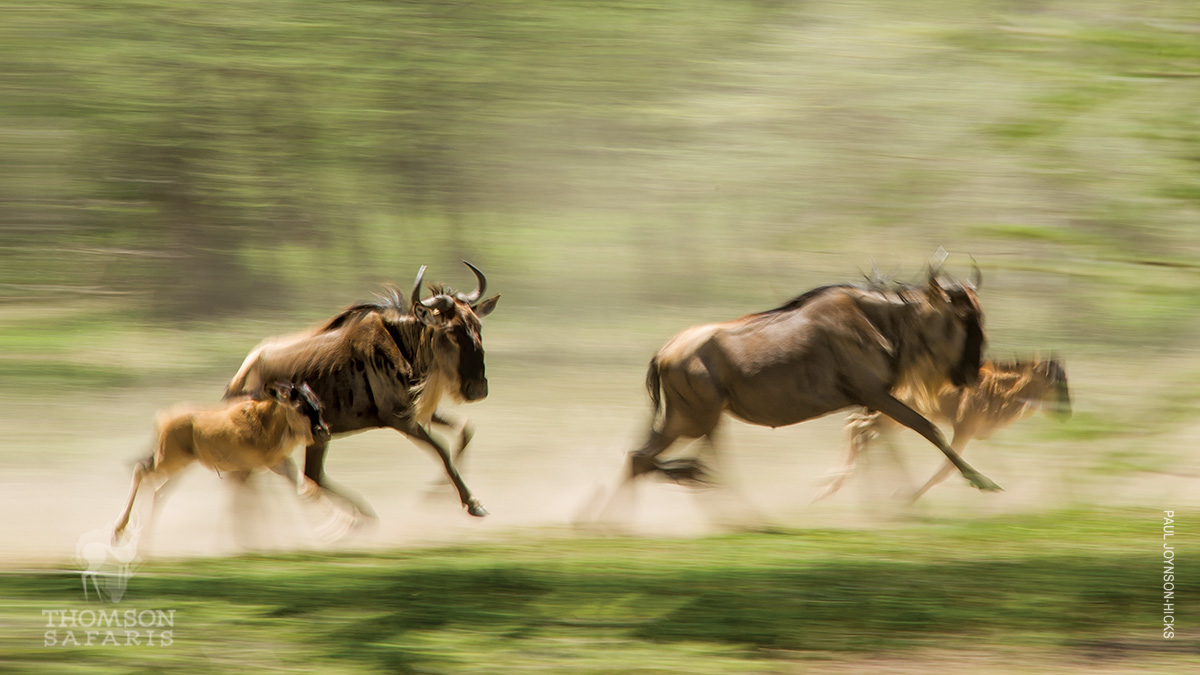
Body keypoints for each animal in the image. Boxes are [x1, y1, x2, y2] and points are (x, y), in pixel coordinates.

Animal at [114, 381, 328, 538]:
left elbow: (306, 488)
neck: (267, 425)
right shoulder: (252, 468)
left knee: (158, 491)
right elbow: (255, 505)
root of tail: (162, 420)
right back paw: (120, 530)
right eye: (300, 408)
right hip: (168, 460)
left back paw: (143, 538)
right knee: (141, 470)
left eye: (317, 404)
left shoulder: (276, 464)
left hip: (180, 465)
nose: (323, 431)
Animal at [816, 357, 1070, 499]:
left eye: (1065, 379)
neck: (998, 389)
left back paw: (832, 482)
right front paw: (907, 498)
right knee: (857, 425)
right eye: (1054, 382)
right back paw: (830, 484)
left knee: (859, 429)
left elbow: (1004, 465)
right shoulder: (963, 430)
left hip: (894, 420)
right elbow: (946, 469)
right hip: (893, 417)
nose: (1065, 412)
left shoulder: (983, 436)